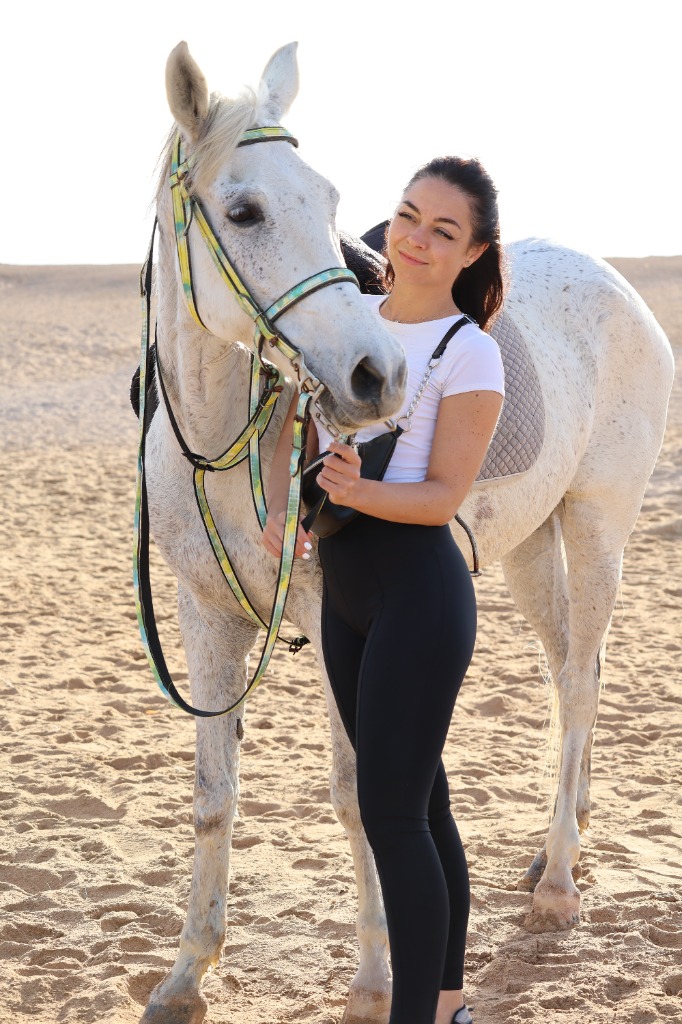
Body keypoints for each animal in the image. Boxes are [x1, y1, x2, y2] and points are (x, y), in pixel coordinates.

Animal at [136, 39, 674, 1024]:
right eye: (244, 210)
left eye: (330, 199)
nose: (372, 376)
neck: (225, 443)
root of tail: (614, 276)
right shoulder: (205, 617)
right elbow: (213, 797)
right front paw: (188, 974)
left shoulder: (335, 625)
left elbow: (357, 793)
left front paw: (376, 978)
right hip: (531, 548)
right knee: (565, 673)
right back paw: (559, 839)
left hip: (598, 526)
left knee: (582, 685)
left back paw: (558, 885)